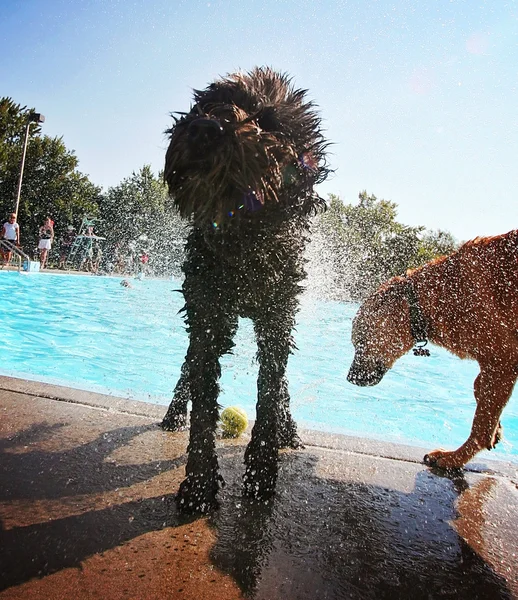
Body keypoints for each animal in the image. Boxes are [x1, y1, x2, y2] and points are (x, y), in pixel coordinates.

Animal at [162, 68, 332, 512]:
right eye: (208, 103)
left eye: (269, 121)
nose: (205, 128)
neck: (244, 242)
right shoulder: (207, 313)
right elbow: (203, 393)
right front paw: (199, 485)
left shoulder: (278, 316)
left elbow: (271, 392)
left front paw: (261, 473)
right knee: (186, 367)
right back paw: (173, 414)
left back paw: (290, 430)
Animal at [350, 230, 518, 468]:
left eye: (360, 341)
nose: (349, 377)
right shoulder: (498, 364)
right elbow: (480, 390)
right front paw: (497, 431)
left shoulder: (501, 359)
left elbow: (481, 423)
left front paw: (454, 458)